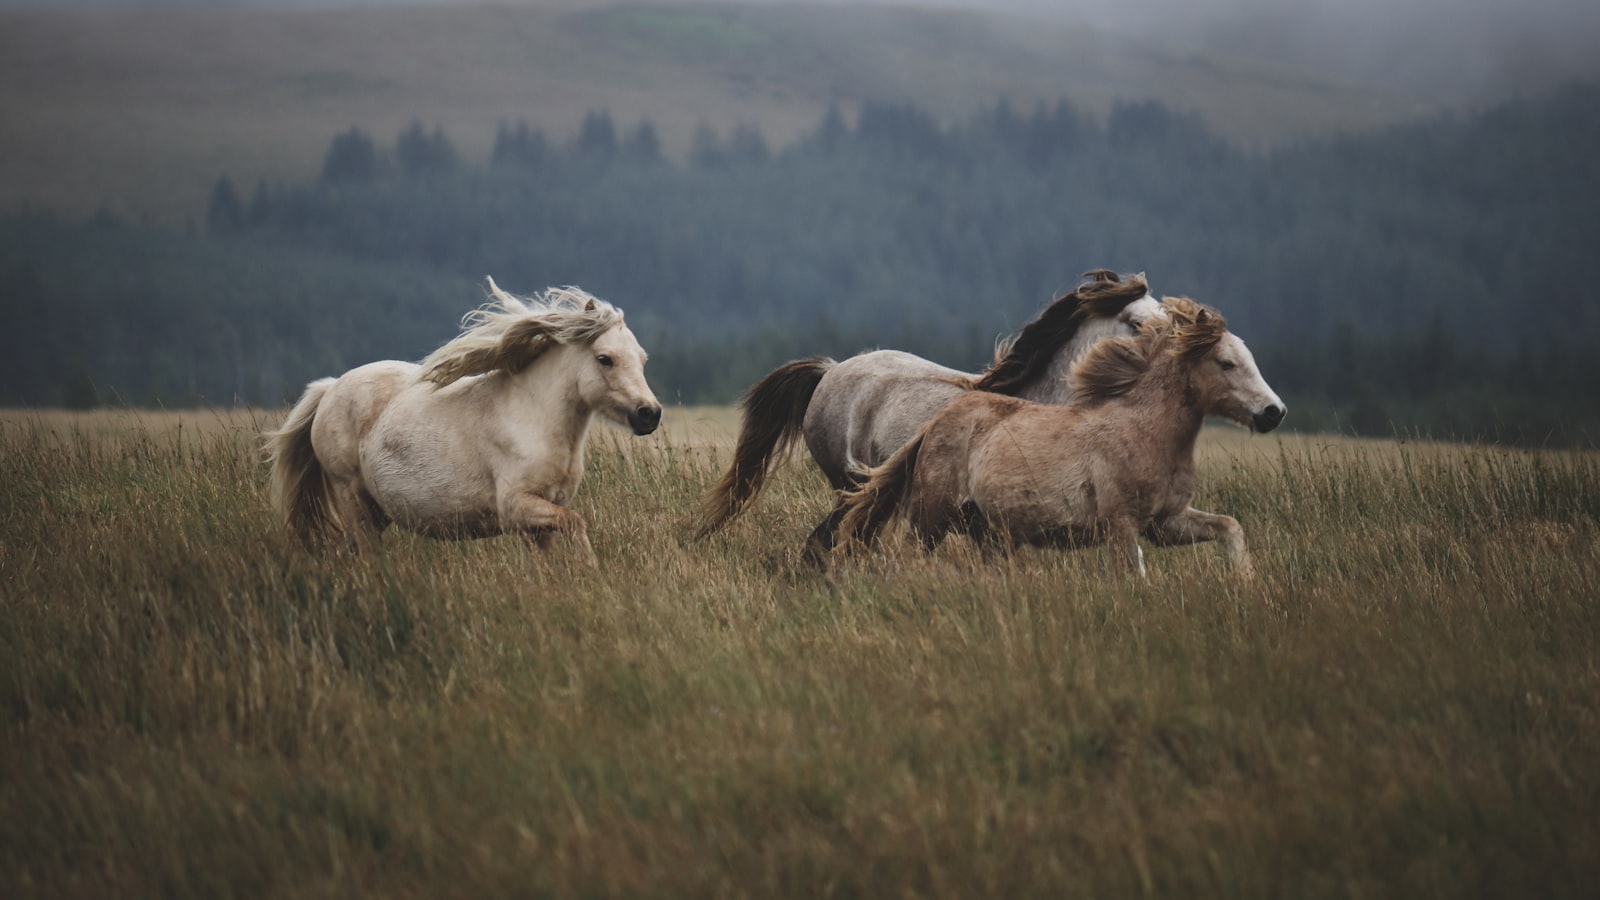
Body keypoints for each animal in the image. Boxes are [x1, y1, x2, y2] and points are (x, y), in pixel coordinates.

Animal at [264, 278, 663, 563]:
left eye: (643, 358)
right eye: (605, 359)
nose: (650, 414)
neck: (535, 419)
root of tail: (330, 388)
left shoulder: (539, 520)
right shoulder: (516, 508)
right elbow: (577, 524)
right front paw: (591, 570)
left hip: (373, 512)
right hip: (352, 497)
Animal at [832, 295, 1285, 578]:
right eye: (1226, 363)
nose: (1273, 412)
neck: (1145, 431)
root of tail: (936, 423)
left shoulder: (1165, 522)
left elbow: (1230, 528)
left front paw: (1247, 584)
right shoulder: (1121, 524)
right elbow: (1134, 576)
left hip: (990, 533)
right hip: (931, 516)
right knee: (904, 559)